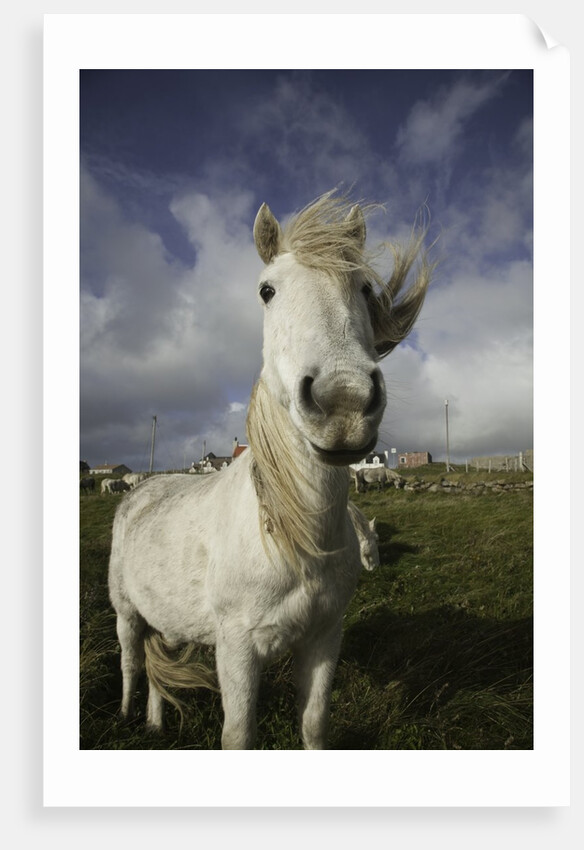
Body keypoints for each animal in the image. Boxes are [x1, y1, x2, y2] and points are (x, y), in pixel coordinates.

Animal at [108, 190, 432, 749]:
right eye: (266, 291)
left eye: (365, 288)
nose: (344, 402)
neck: (292, 538)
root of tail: (141, 490)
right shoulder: (237, 648)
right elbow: (239, 734)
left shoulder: (324, 639)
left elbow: (314, 725)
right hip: (126, 612)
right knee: (131, 662)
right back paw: (129, 716)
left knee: (155, 667)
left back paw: (153, 722)